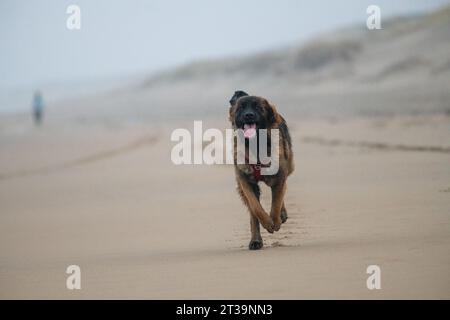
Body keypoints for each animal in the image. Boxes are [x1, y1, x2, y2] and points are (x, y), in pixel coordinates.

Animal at [229, 90, 296, 250]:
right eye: (241, 108)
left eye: (258, 107)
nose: (248, 115)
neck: (255, 145)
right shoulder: (246, 183)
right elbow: (256, 208)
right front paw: (268, 223)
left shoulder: (279, 178)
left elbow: (276, 203)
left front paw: (276, 221)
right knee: (253, 214)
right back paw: (256, 240)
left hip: (288, 167)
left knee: (283, 191)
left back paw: (282, 215)